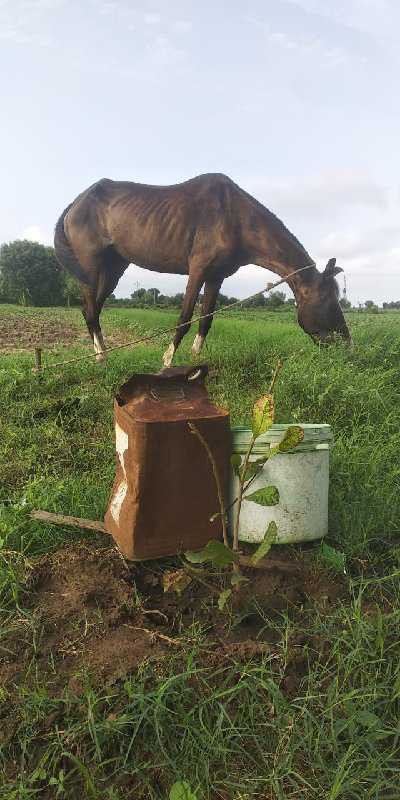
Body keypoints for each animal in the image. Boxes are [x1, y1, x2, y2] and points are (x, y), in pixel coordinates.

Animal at [54, 175, 350, 366]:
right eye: (328, 300)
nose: (347, 345)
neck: (235, 218)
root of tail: (75, 204)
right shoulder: (197, 270)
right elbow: (185, 317)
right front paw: (167, 360)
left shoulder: (216, 277)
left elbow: (206, 319)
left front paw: (197, 358)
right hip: (91, 267)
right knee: (90, 309)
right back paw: (100, 356)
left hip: (114, 269)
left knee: (92, 309)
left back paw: (103, 353)